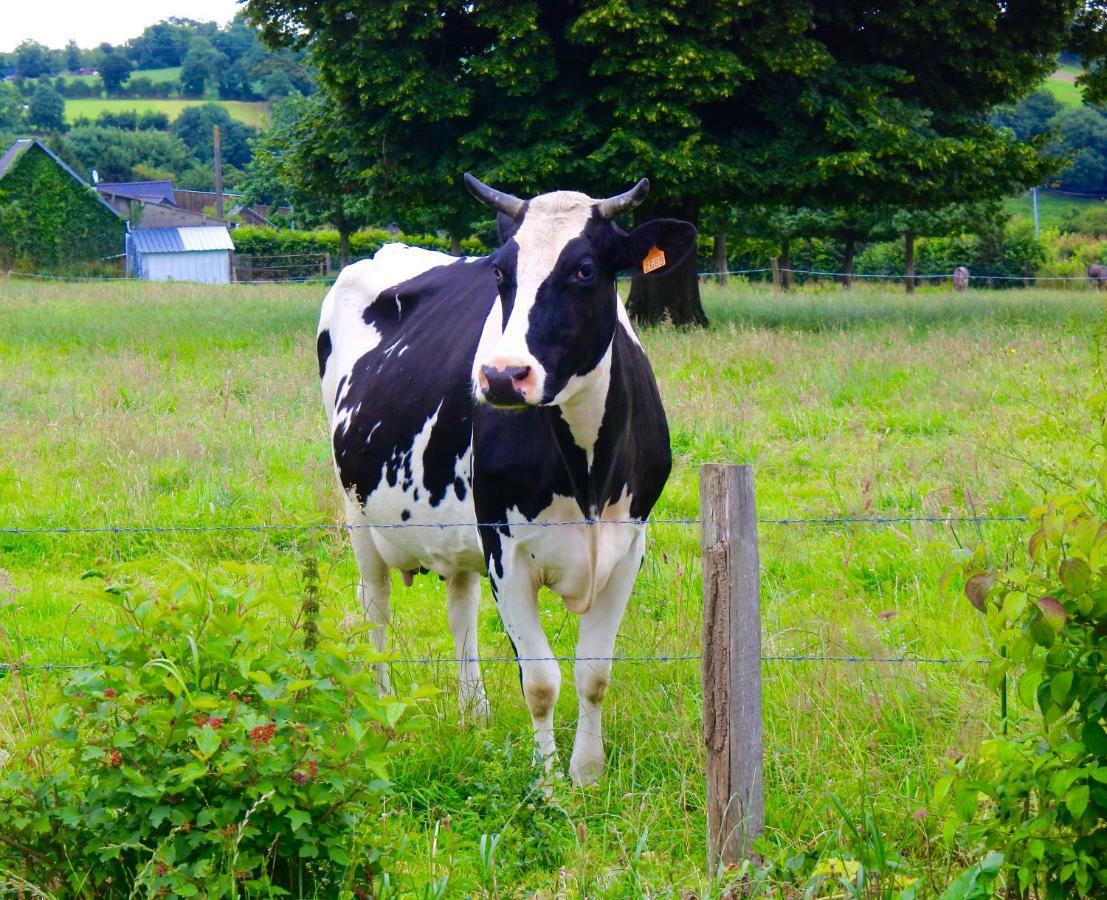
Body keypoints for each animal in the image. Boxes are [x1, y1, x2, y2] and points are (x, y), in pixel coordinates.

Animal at [316, 173, 690, 779]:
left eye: (585, 269)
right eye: (499, 272)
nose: (500, 376)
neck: (587, 473)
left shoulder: (628, 546)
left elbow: (594, 673)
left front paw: (587, 774)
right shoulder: (506, 549)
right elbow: (540, 682)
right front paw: (548, 783)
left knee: (460, 609)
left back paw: (474, 713)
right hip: (358, 513)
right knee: (376, 608)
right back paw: (379, 713)